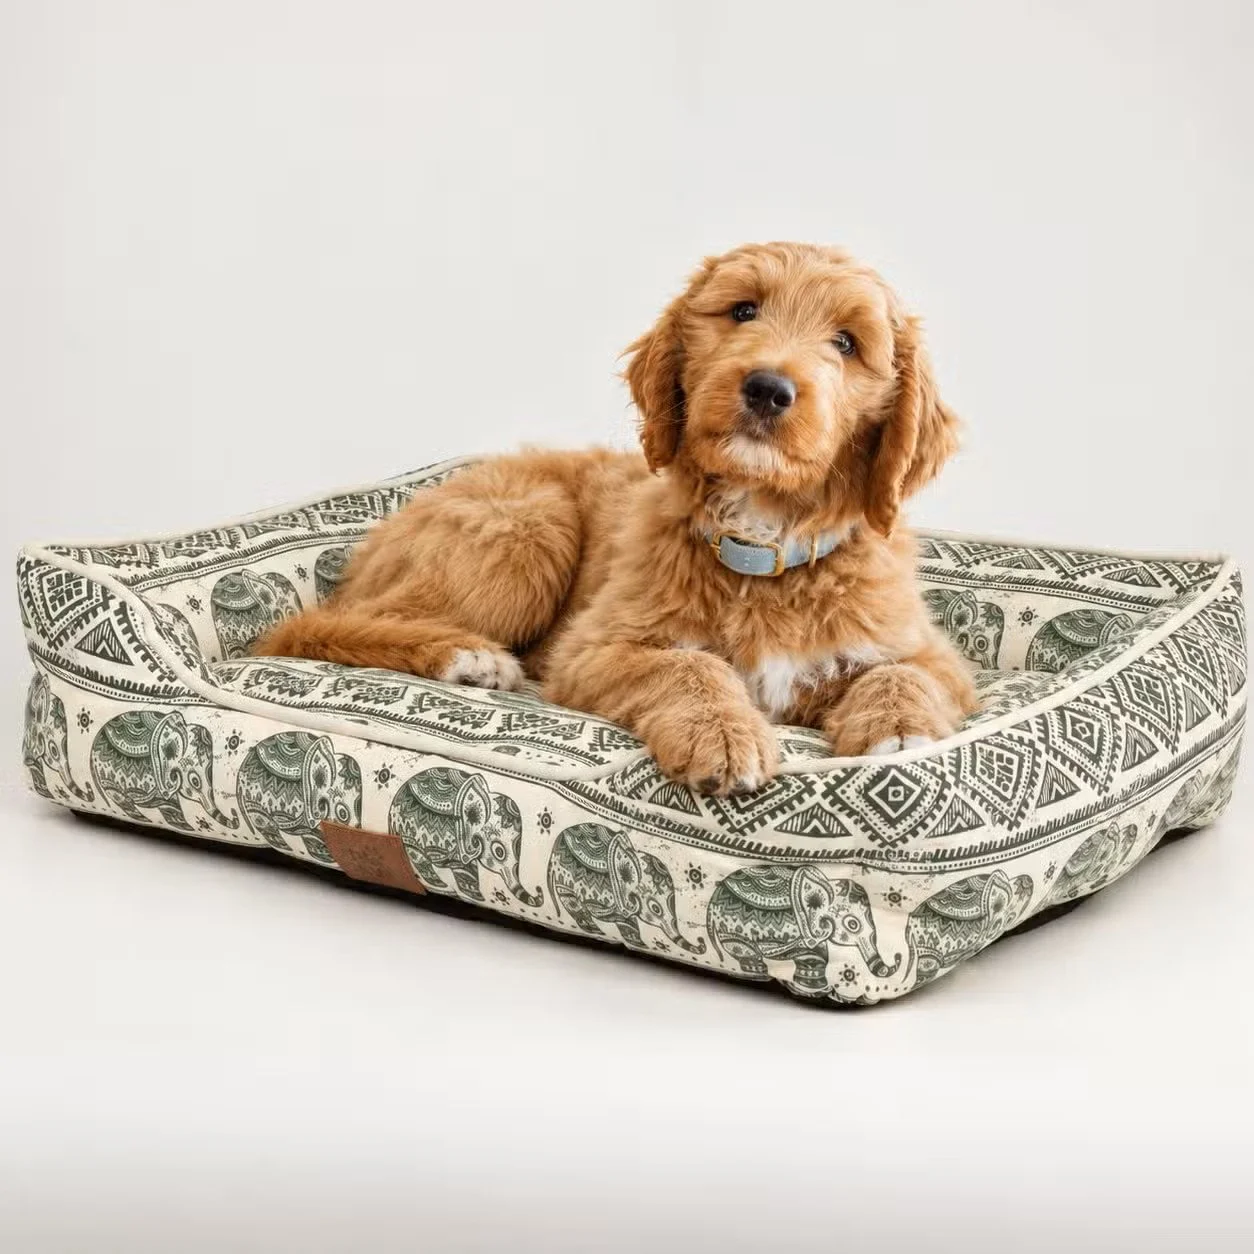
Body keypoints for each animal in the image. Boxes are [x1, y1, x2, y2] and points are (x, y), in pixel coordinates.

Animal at [89, 710, 237, 832]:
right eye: (195, 781)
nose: (234, 812)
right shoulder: (156, 773)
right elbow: (170, 804)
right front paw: (187, 827)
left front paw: (186, 827)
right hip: (108, 780)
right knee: (121, 800)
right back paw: (144, 819)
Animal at [389, 766, 542, 906]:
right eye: (499, 852)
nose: (539, 889)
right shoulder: (456, 839)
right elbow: (464, 869)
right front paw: (475, 897)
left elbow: (469, 869)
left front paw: (476, 897)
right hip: (407, 834)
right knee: (419, 859)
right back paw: (441, 886)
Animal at [548, 823, 705, 954]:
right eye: (656, 909)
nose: (701, 940)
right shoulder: (612, 893)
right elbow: (624, 920)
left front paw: (640, 945)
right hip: (564, 878)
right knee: (572, 902)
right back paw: (595, 930)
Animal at [706, 865, 898, 992]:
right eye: (853, 924)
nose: (897, 957)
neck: (827, 882)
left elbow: (816, 956)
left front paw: (812, 987)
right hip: (731, 929)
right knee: (745, 951)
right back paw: (756, 974)